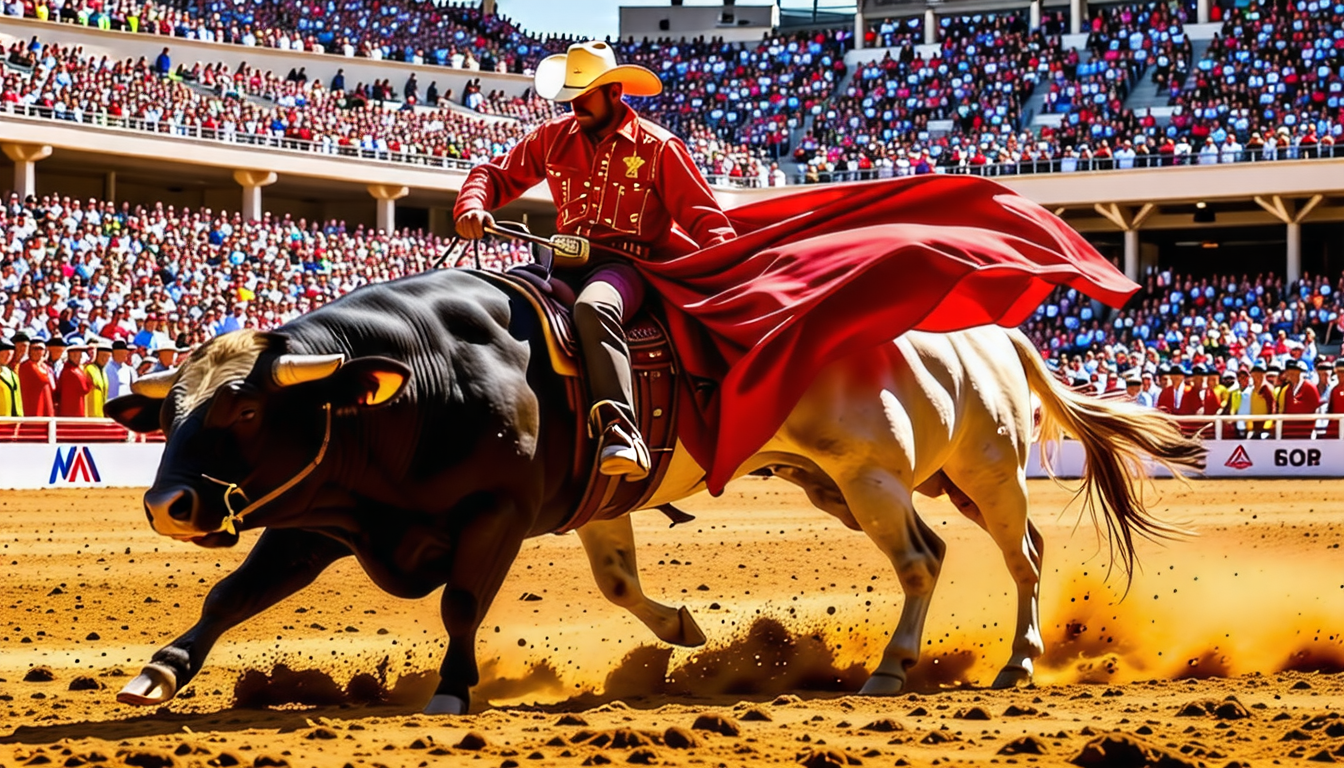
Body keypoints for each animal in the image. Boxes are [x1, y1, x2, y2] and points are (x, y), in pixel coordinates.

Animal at [104, 269, 704, 715]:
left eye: (247, 410)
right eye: (167, 415)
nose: (165, 506)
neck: (432, 374)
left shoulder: (499, 511)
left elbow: (461, 604)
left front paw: (452, 689)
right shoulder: (319, 516)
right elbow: (232, 594)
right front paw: (159, 670)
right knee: (617, 578)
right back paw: (678, 624)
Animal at [572, 324, 1204, 699]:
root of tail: (998, 332)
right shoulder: (598, 499)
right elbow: (615, 580)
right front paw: (681, 627)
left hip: (959, 475)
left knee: (987, 558)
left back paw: (983, 662)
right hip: (902, 487)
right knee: (990, 548)